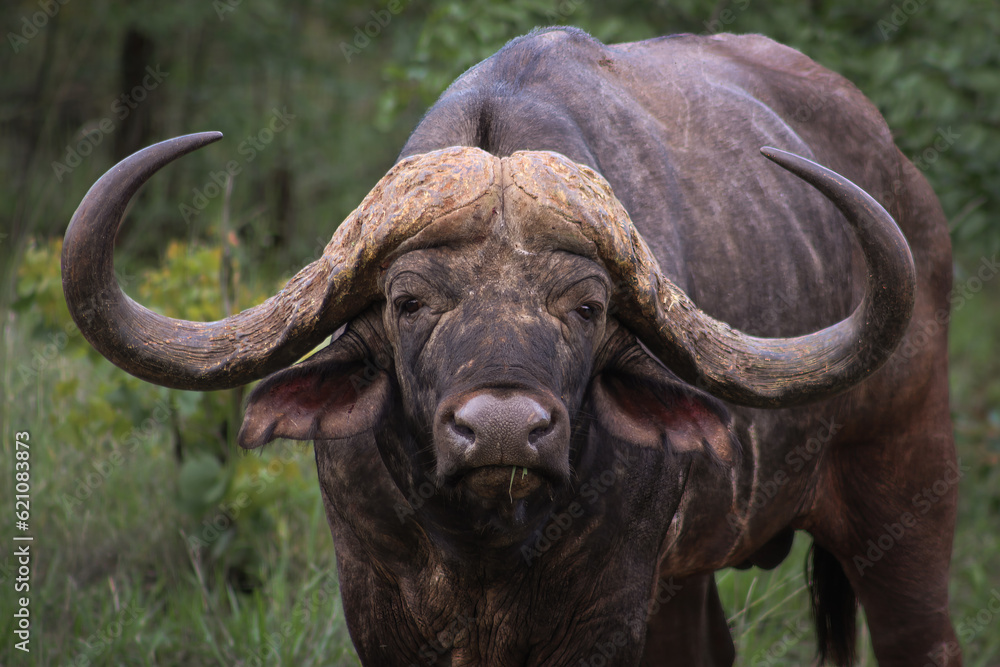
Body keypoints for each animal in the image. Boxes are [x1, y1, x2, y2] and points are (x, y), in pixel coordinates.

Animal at [62, 28, 959, 666]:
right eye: (408, 301)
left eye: (588, 307)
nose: (502, 428)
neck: (480, 548)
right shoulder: (376, 607)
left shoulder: (606, 610)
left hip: (908, 480)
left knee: (922, 636)